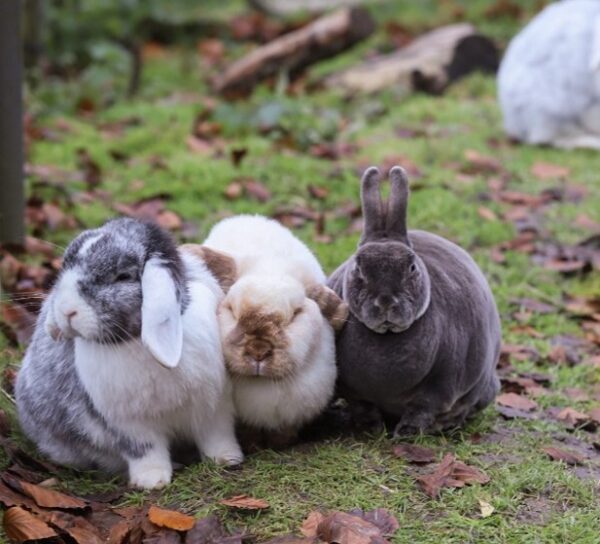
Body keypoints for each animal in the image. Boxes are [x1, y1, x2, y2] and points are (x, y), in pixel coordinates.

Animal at [17, 219, 245, 490]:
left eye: (122, 276)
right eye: (65, 268)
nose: (66, 311)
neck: (133, 341)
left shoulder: (213, 406)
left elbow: (217, 436)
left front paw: (228, 459)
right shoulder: (127, 423)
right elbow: (145, 450)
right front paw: (151, 481)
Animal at [328, 166, 502, 434]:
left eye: (411, 267)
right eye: (358, 268)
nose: (386, 303)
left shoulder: (440, 387)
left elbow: (422, 409)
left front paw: (407, 432)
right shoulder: (354, 393)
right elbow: (363, 406)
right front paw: (371, 428)